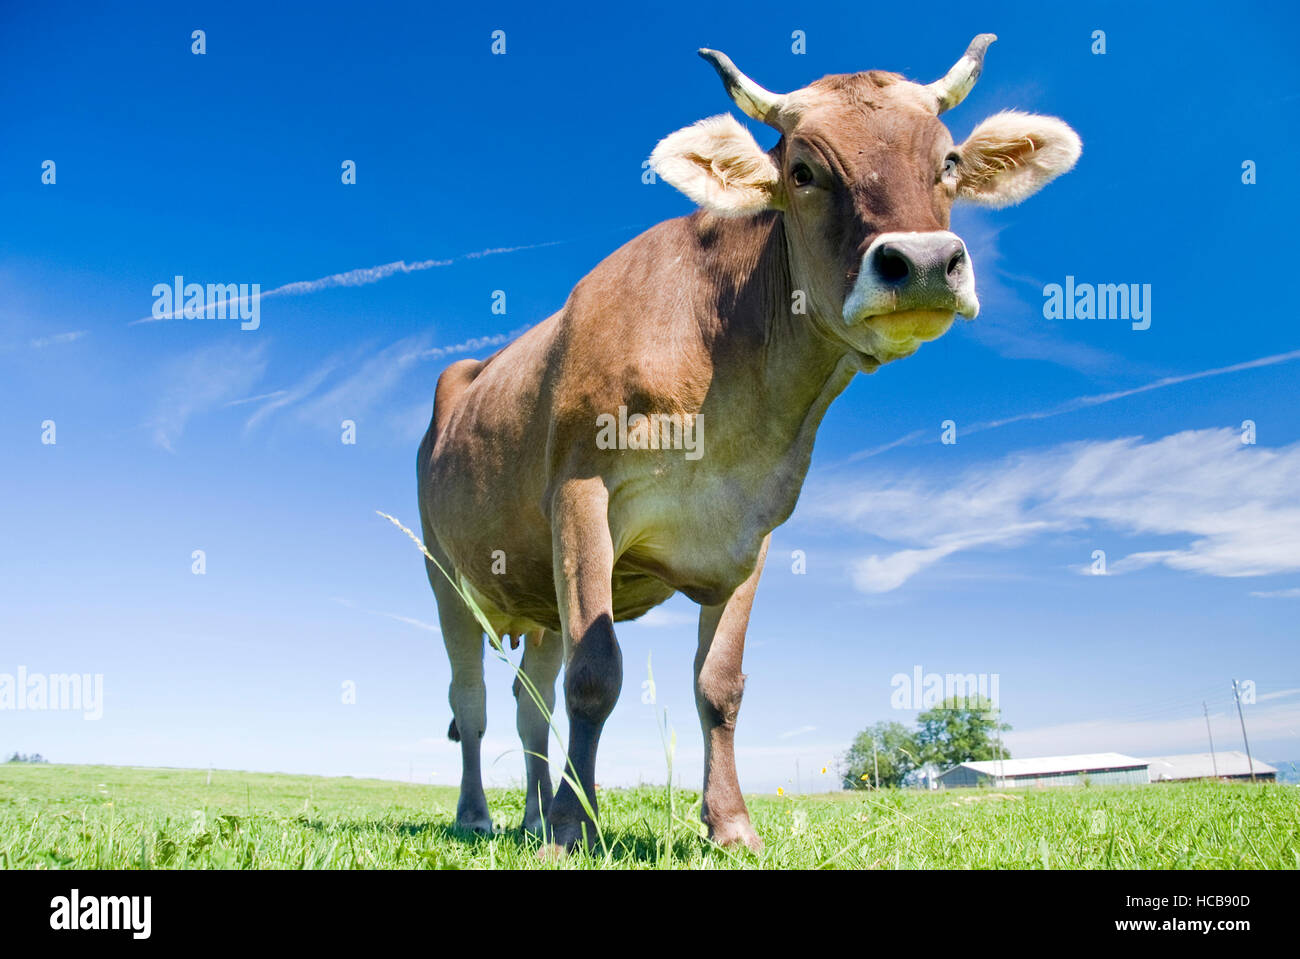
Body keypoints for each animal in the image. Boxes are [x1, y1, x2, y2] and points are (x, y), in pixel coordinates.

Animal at [416, 34, 1080, 852]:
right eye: (803, 171)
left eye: (948, 161)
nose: (925, 263)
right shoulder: (579, 493)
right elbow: (595, 673)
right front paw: (576, 828)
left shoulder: (753, 531)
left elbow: (720, 686)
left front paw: (729, 824)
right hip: (445, 575)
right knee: (473, 702)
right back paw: (480, 815)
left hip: (536, 590)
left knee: (528, 703)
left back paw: (533, 814)